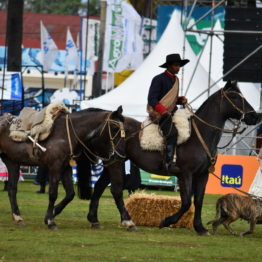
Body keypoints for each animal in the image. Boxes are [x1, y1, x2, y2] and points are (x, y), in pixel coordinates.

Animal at [77, 81, 258, 234]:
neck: (198, 136)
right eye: (234, 96)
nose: (255, 116)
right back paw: (128, 222)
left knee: (99, 187)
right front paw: (166, 221)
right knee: (115, 190)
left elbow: (198, 200)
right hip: (115, 162)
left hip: (112, 161)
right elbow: (186, 202)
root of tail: (106, 122)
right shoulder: (185, 174)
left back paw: (94, 219)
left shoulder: (202, 174)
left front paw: (199, 228)